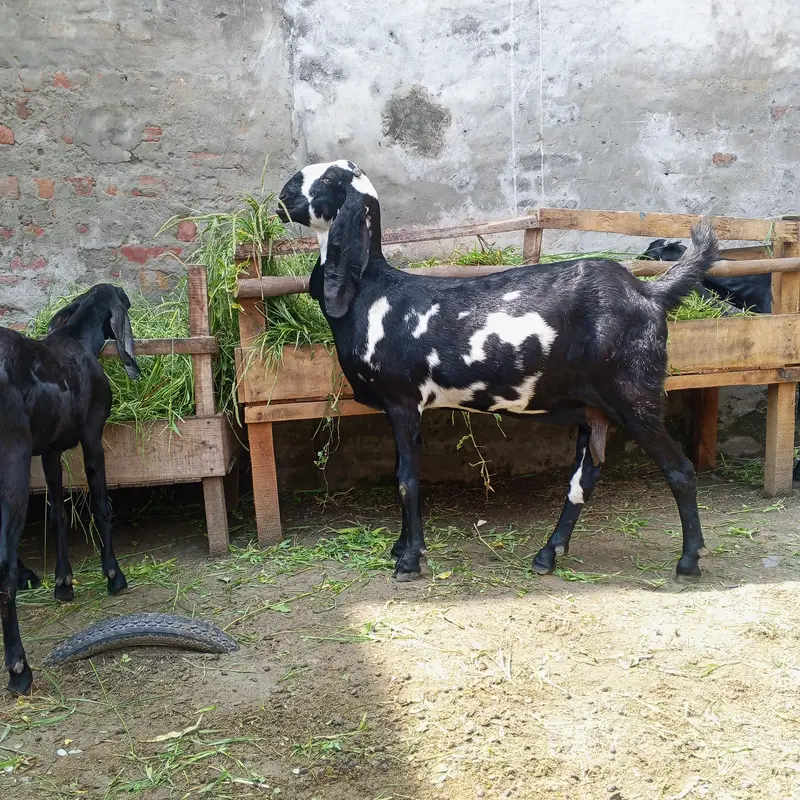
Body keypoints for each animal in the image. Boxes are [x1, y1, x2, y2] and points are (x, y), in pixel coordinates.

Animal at [0, 284, 139, 694]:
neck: (76, 340)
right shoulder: (92, 436)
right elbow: (101, 505)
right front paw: (114, 576)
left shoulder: (50, 450)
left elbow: (58, 513)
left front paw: (63, 583)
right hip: (12, 463)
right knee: (3, 568)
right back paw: (19, 669)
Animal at [276, 160, 719, 584]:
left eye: (328, 178)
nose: (282, 195)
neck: (372, 293)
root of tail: (649, 294)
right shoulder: (396, 407)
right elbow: (401, 474)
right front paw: (400, 547)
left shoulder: (404, 400)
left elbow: (406, 479)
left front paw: (409, 560)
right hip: (593, 408)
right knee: (583, 479)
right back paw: (547, 555)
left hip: (635, 394)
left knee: (680, 470)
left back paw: (688, 562)